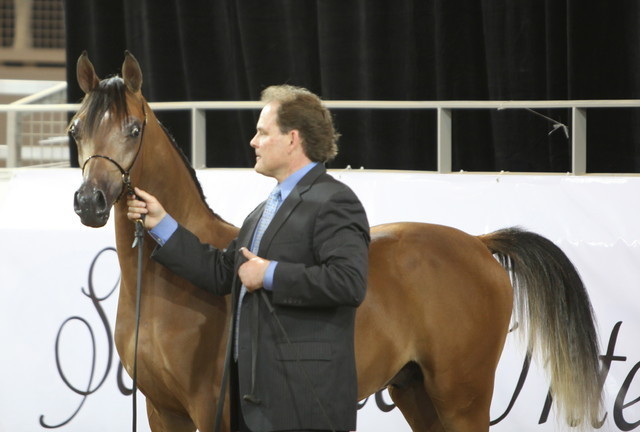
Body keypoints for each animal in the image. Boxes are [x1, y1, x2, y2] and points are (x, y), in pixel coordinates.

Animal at [71, 51, 602, 432]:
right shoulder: (162, 411)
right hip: (416, 393)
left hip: (462, 399)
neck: (164, 291)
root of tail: (477, 242)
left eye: (133, 129)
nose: (88, 202)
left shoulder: (210, 410)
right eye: (76, 129)